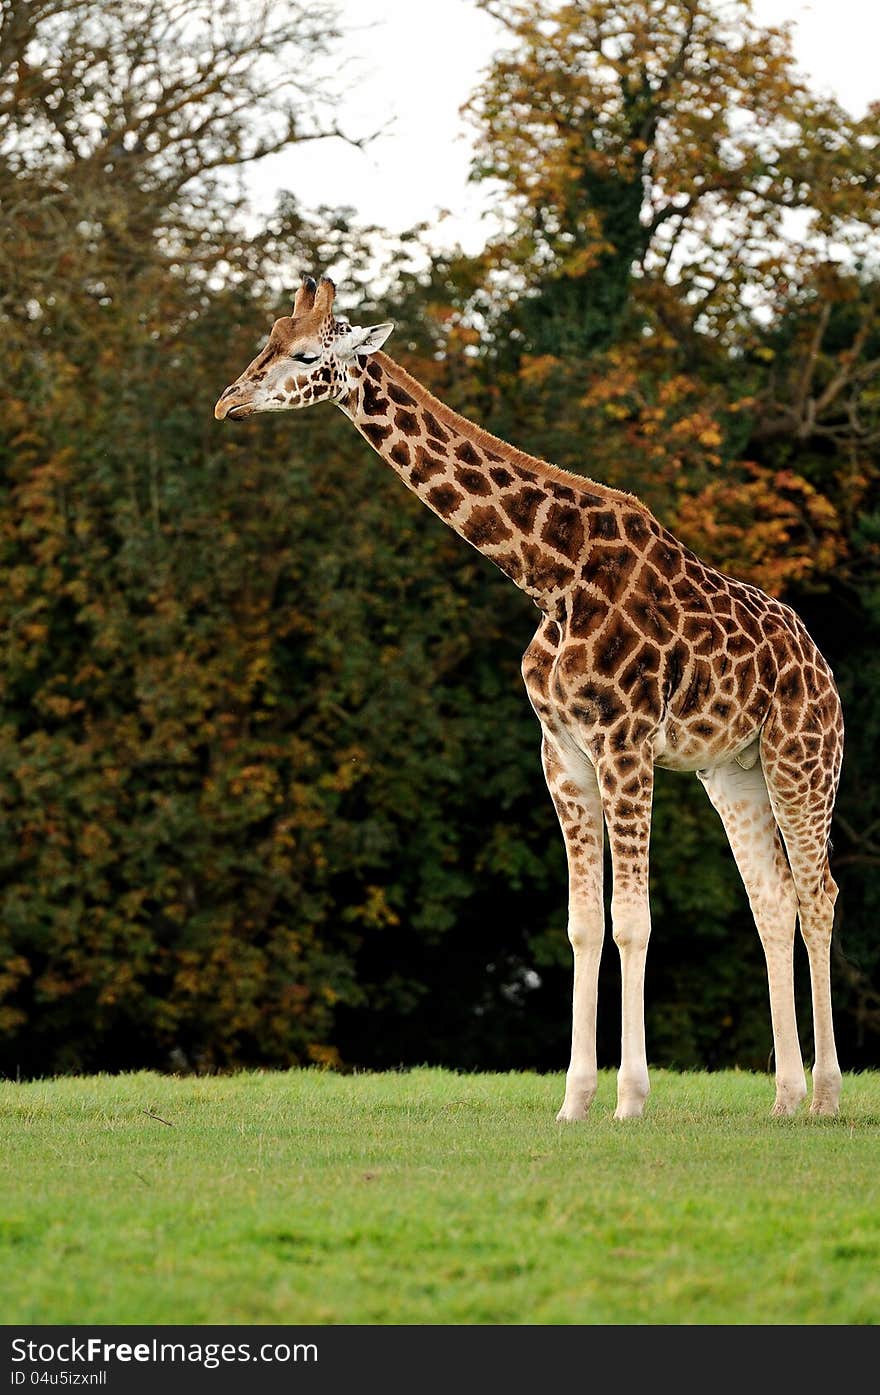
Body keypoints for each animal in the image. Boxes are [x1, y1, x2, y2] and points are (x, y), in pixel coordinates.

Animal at [213, 272, 847, 1121]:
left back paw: (826, 1096)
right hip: (733, 773)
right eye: (267, 342)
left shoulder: (625, 744)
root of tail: (821, 664)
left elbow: (632, 921)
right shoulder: (563, 752)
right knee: (774, 902)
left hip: (801, 760)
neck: (549, 575)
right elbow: (582, 924)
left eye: (310, 354)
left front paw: (630, 1099)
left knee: (819, 893)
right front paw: (575, 1100)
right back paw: (783, 1096)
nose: (229, 402)